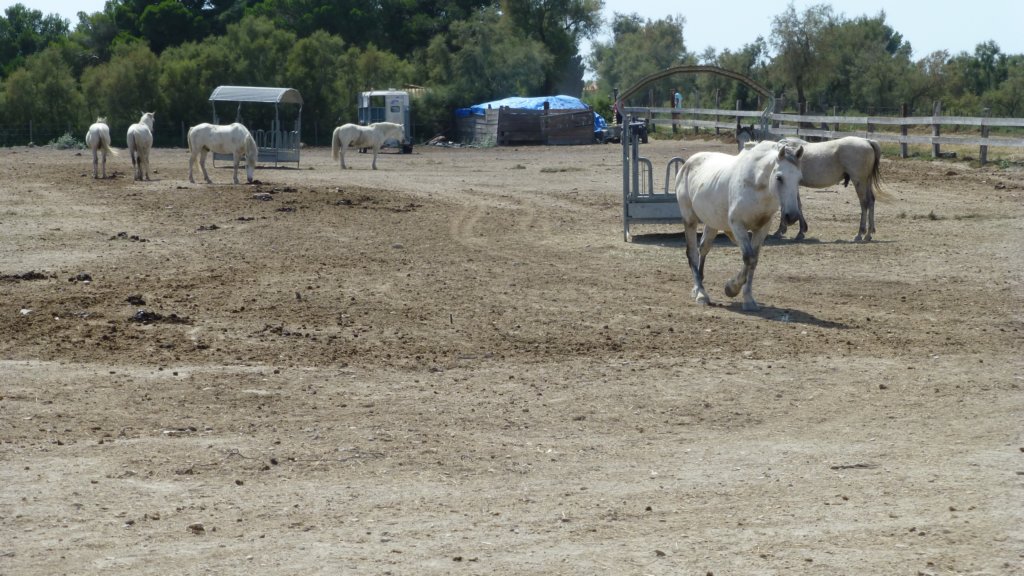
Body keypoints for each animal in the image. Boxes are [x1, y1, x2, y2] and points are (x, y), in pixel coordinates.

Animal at [675, 140, 802, 309]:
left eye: (799, 179)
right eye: (779, 177)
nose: (792, 216)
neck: (756, 185)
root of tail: (688, 163)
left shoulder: (762, 228)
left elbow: (753, 260)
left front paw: (748, 299)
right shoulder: (738, 226)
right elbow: (748, 258)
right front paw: (731, 288)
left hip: (712, 223)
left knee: (704, 248)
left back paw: (698, 286)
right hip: (689, 219)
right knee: (692, 253)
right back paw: (701, 294)